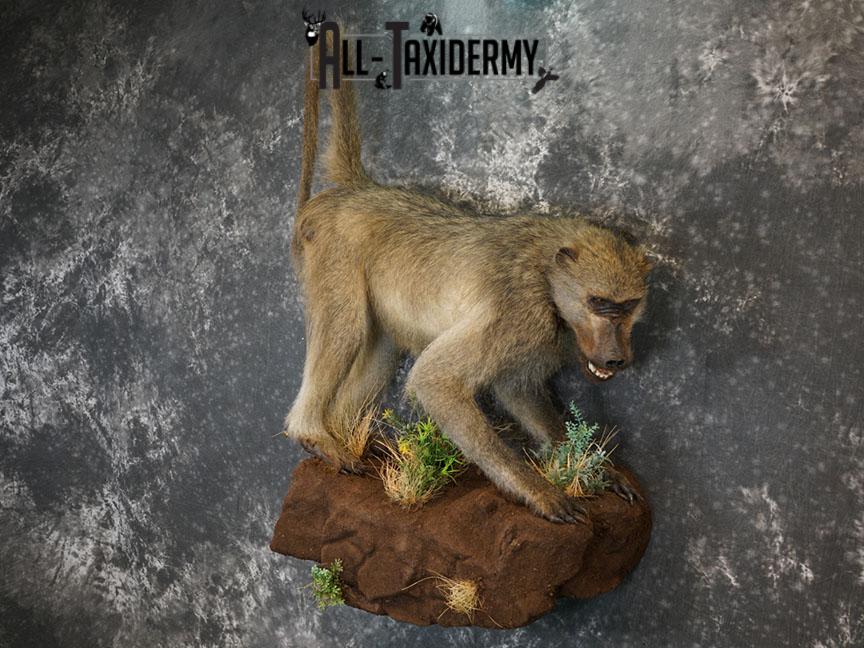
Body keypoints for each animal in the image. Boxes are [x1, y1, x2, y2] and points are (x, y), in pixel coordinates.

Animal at [284, 37, 652, 524]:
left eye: (628, 306)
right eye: (600, 304)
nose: (615, 358)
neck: (545, 271)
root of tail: (359, 190)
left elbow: (517, 389)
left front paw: (597, 471)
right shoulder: (519, 314)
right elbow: (435, 380)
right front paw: (539, 492)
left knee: (378, 344)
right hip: (332, 255)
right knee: (346, 327)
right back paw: (313, 434)